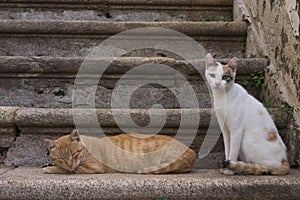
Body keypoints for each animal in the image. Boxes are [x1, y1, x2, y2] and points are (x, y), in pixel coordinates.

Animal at [42, 130, 197, 173]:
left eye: (74, 154)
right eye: (61, 158)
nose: (69, 163)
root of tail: (191, 151)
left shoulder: (93, 168)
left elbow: (69, 171)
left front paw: (51, 169)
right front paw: (49, 165)